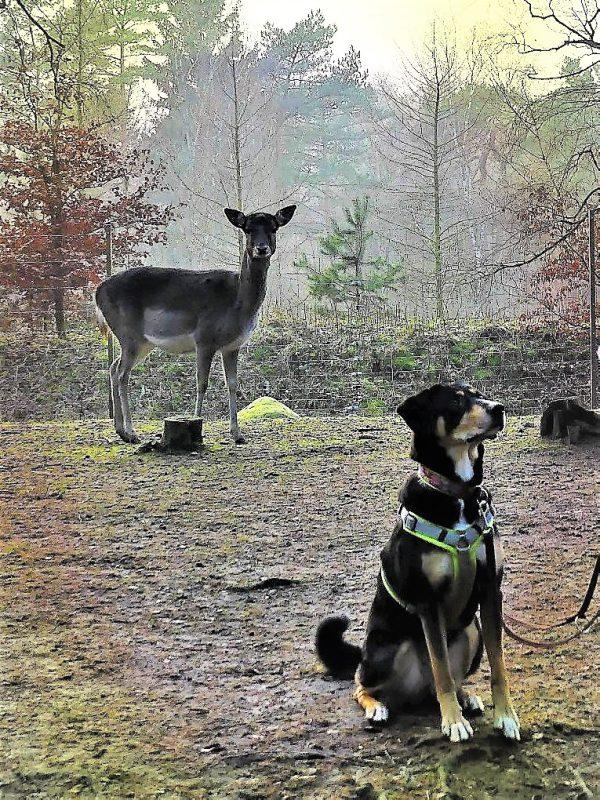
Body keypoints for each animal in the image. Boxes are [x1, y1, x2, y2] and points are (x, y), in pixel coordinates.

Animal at [94, 205, 298, 444]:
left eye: (273, 228)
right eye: (248, 229)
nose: (262, 248)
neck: (238, 303)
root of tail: (97, 291)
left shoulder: (232, 346)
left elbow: (232, 384)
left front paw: (237, 434)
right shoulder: (204, 339)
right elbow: (202, 383)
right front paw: (196, 425)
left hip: (142, 342)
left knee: (113, 367)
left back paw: (120, 431)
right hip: (128, 334)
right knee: (122, 374)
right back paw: (131, 433)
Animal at [318, 382, 520, 744]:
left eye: (478, 393)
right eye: (455, 401)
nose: (499, 409)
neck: (457, 495)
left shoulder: (489, 592)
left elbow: (497, 665)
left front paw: (506, 717)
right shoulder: (428, 601)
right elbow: (440, 668)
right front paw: (453, 722)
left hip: (472, 631)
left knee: (445, 681)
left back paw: (465, 697)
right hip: (386, 650)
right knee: (361, 683)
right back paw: (377, 707)